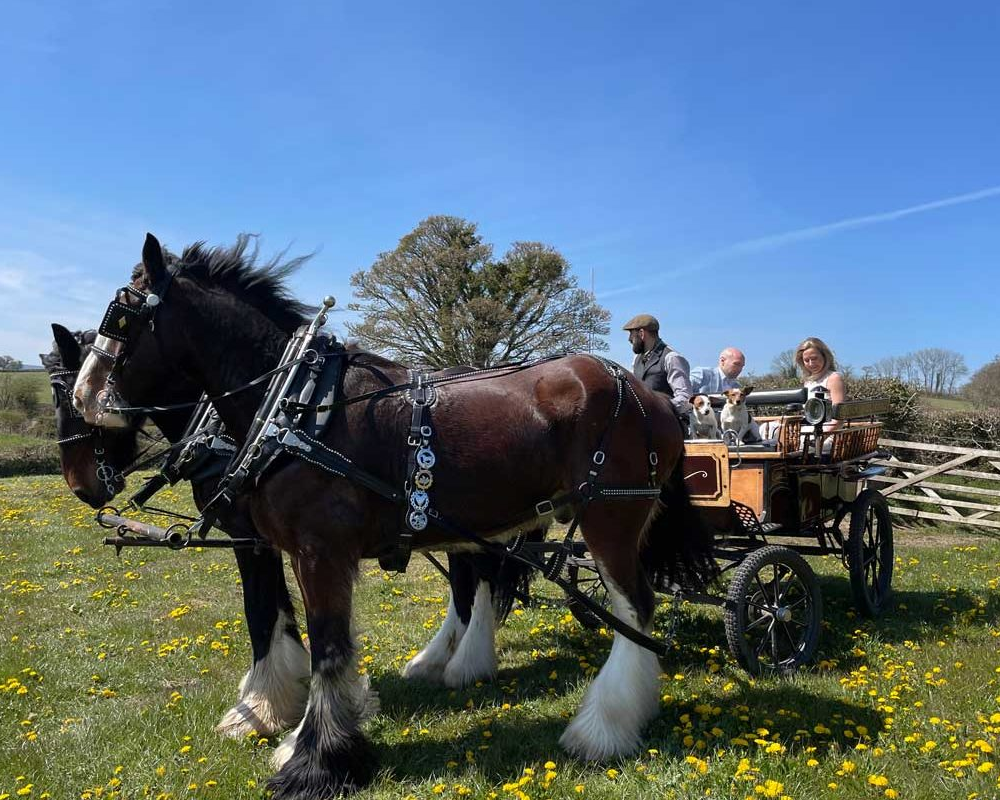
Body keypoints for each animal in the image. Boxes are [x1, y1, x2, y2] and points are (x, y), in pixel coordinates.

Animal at [76, 234, 720, 796]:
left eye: (121, 317)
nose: (87, 397)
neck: (300, 404)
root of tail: (651, 396)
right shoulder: (283, 547)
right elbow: (305, 635)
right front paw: (298, 735)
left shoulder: (319, 551)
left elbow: (328, 648)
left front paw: (317, 762)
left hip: (610, 518)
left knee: (633, 607)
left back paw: (603, 727)